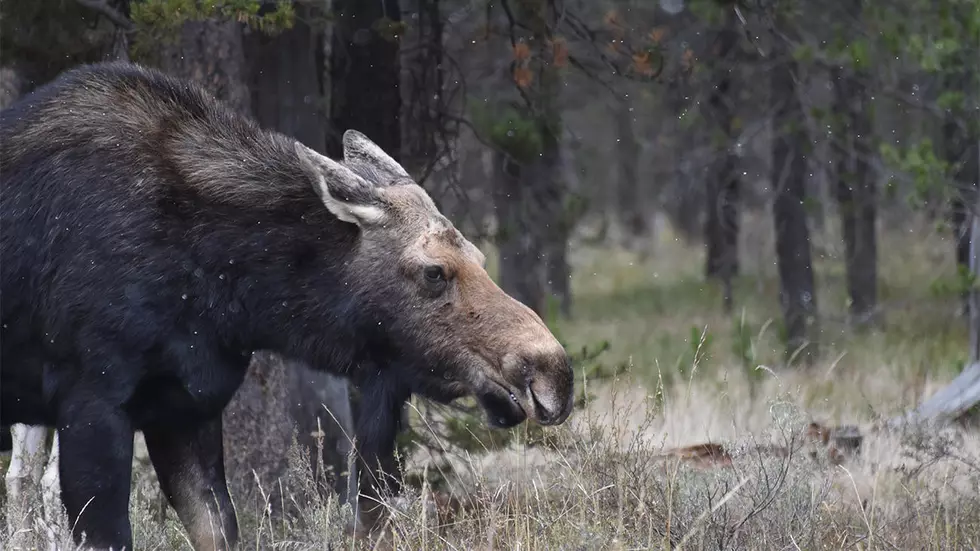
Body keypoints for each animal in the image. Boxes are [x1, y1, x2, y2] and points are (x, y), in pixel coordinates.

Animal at [0, 61, 572, 551]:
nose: (554, 372)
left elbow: (219, 526)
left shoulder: (185, 408)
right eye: (434, 271)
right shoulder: (93, 403)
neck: (229, 294)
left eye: (479, 255)